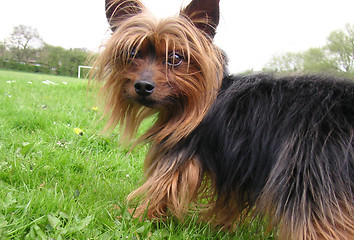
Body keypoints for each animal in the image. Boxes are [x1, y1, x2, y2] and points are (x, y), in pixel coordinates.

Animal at [92, 0, 354, 239]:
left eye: (176, 57)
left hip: (309, 174)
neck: (197, 99)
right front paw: (221, 226)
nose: (143, 86)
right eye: (132, 54)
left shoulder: (181, 153)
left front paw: (135, 217)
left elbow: (161, 187)